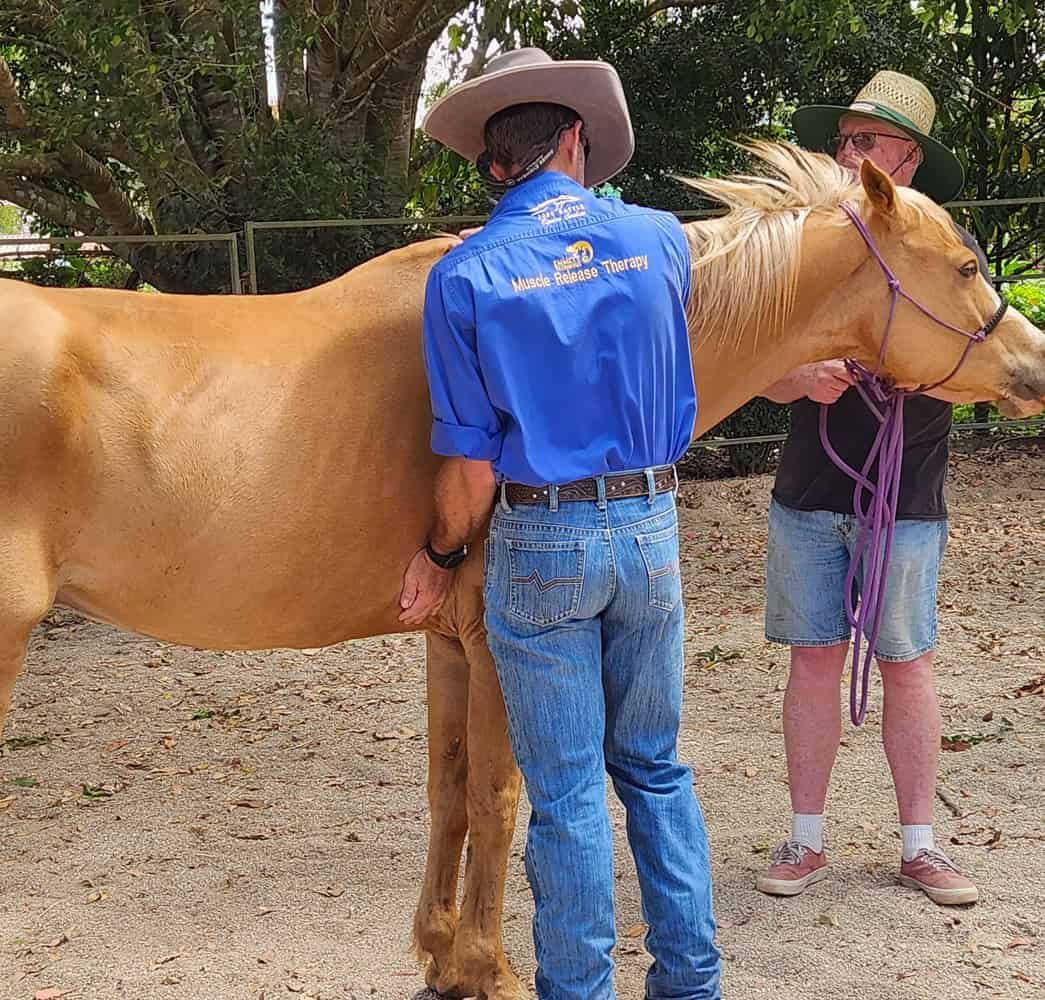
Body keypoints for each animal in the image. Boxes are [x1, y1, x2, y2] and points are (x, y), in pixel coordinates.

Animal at [1, 144, 1042, 1000]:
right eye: (962, 266)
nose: (1034, 362)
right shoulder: (501, 642)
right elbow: (504, 800)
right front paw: (491, 970)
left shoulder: (447, 641)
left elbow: (449, 791)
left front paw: (437, 957)